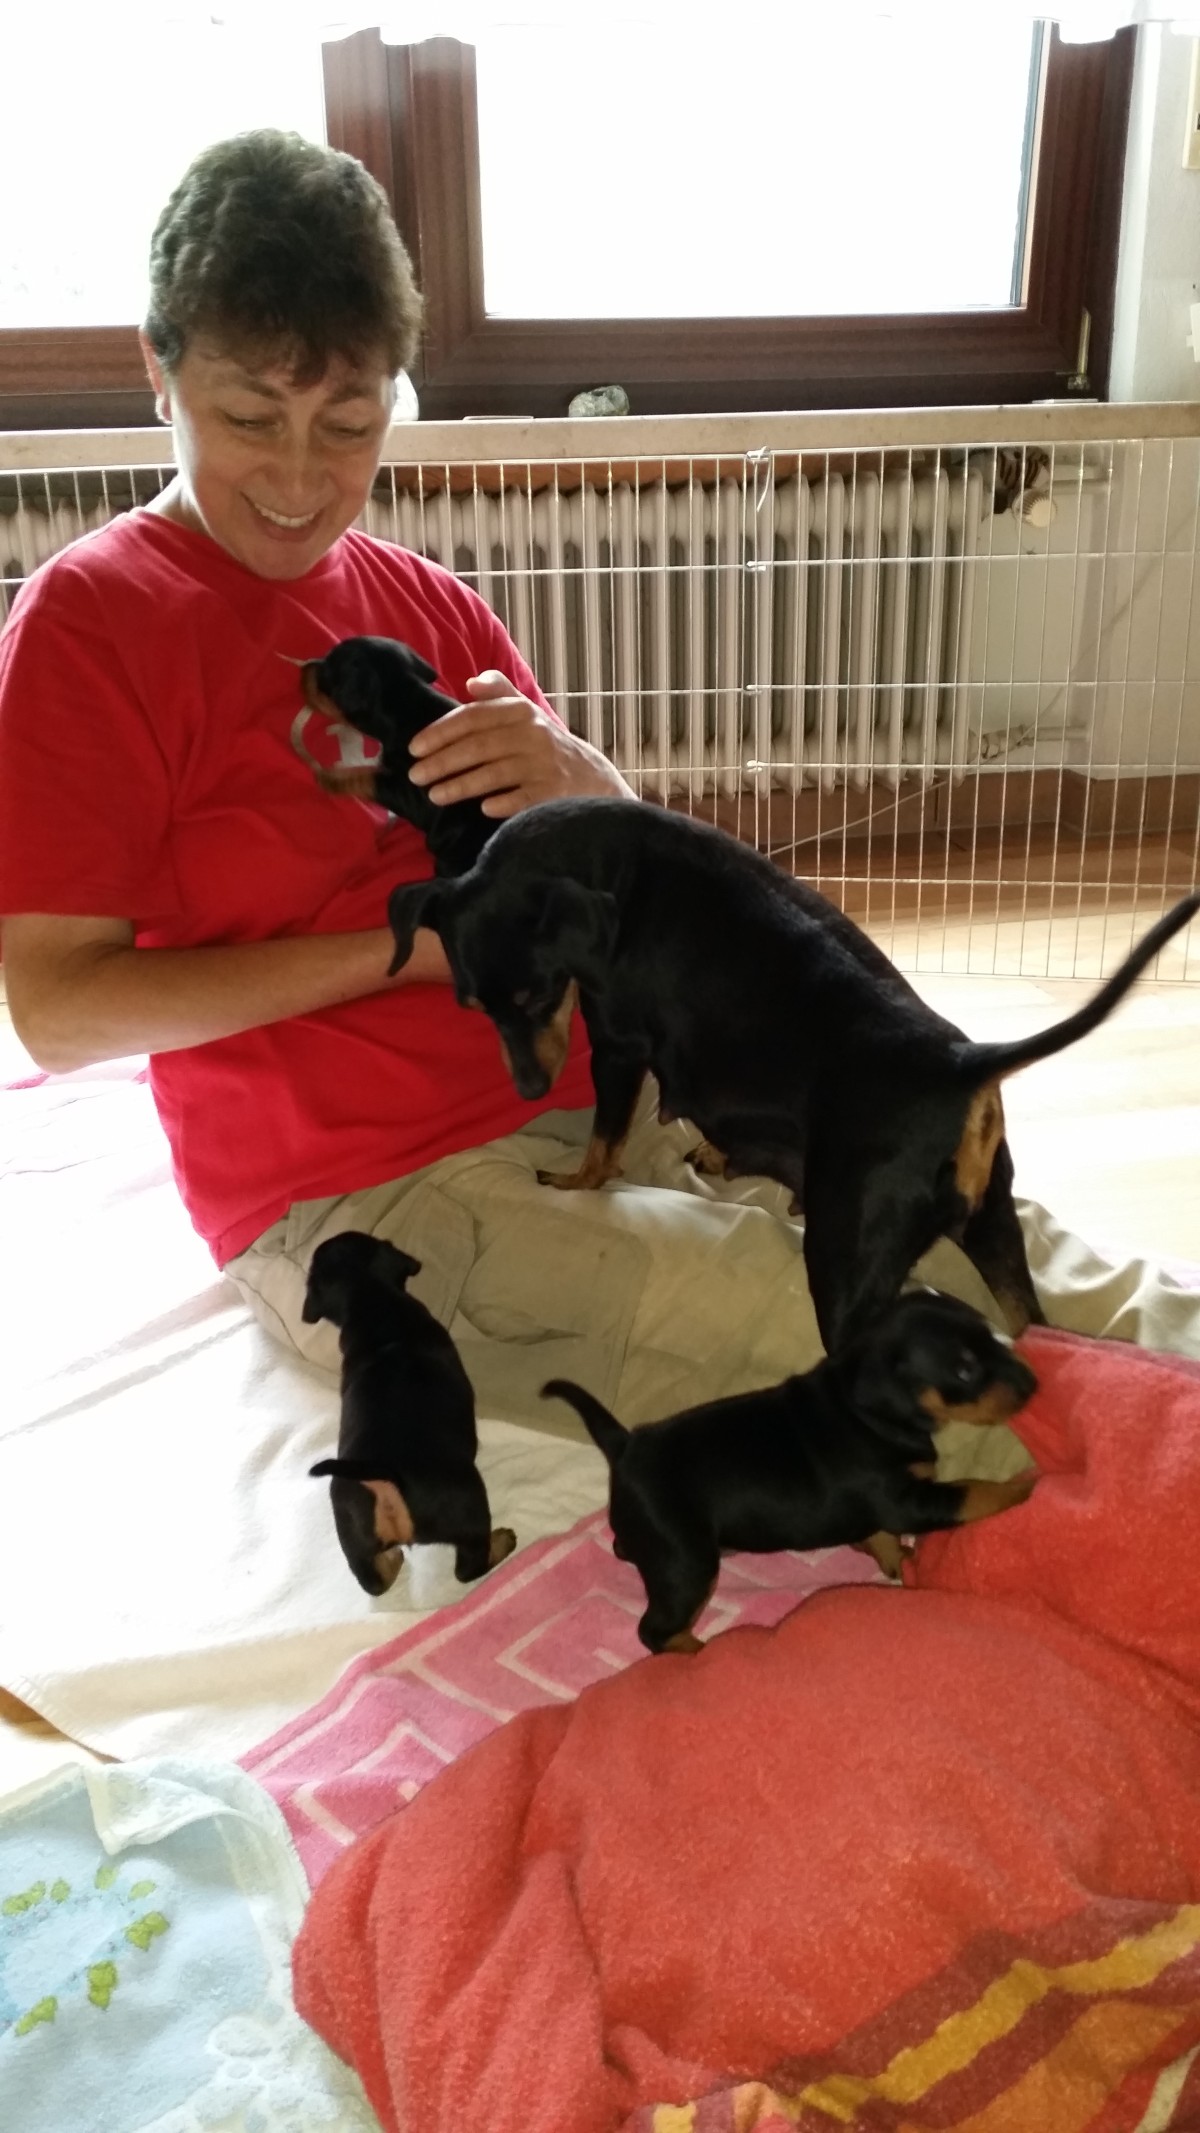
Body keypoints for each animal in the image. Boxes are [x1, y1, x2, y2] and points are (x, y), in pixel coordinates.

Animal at [300, 635, 494, 876]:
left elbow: (368, 777)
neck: (405, 704)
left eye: (326, 671)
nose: (304, 667)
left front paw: (328, 778)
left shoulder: (413, 794)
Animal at [303, 1230, 516, 1595]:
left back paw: (392, 1560)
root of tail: (384, 1476)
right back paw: (502, 1542)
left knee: (375, 1582)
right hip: (467, 1505)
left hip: (352, 1534)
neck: (372, 1301)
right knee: (467, 1568)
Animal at [385, 797, 1200, 1349]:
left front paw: (574, 1180)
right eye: (471, 1004)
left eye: (536, 996)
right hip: (993, 1225)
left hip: (844, 1268)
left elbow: (602, 1145)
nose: (529, 1089)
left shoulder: (617, 1047)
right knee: (1033, 1330)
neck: (606, 864)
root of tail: (960, 1062)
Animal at [541, 1290, 1038, 1654]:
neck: (868, 1411)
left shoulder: (887, 1503)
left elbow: (881, 1533)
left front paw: (894, 1559)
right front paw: (1025, 1488)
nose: (1033, 1385)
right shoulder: (904, 1500)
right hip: (688, 1563)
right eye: (964, 1369)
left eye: (993, 1338)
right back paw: (704, 1654)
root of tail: (625, 1444)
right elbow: (973, 1490)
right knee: (655, 1631)